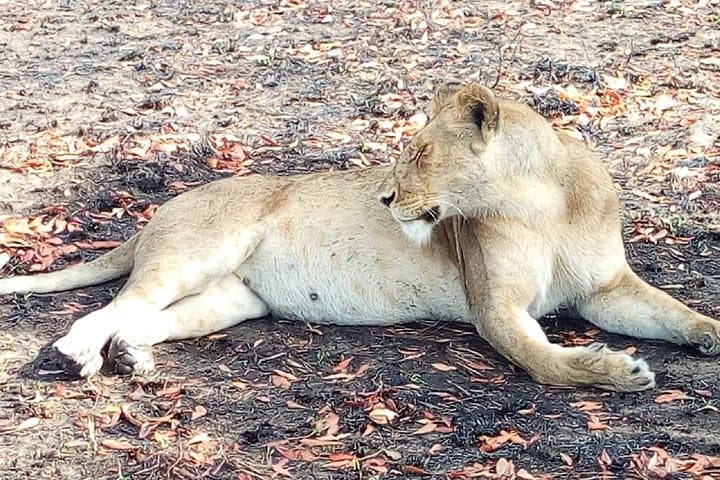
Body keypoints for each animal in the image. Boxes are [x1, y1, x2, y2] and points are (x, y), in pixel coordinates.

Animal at [1, 82, 718, 392]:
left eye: (420, 153)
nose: (385, 197)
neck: (541, 202)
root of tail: (160, 209)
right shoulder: (495, 308)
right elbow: (544, 360)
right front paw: (617, 372)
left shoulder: (606, 287)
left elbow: (671, 311)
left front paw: (707, 333)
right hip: (199, 251)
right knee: (113, 306)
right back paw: (74, 353)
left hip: (233, 298)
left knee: (143, 319)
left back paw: (128, 357)